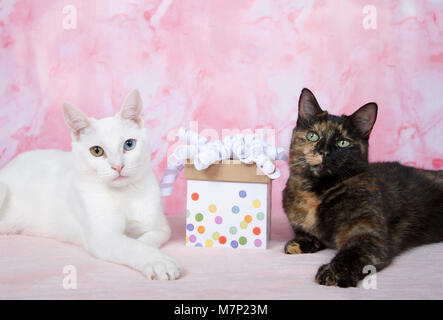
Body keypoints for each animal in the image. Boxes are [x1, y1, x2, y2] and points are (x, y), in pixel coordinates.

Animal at [0, 89, 181, 280]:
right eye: (97, 151)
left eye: (129, 144)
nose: (118, 166)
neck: (124, 194)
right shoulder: (103, 238)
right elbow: (133, 246)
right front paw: (158, 262)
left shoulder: (161, 228)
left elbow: (146, 240)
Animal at [284, 89, 443, 288]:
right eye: (313, 136)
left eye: (343, 143)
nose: (324, 152)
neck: (318, 192)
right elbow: (308, 234)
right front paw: (299, 243)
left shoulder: (367, 230)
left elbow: (354, 252)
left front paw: (334, 271)